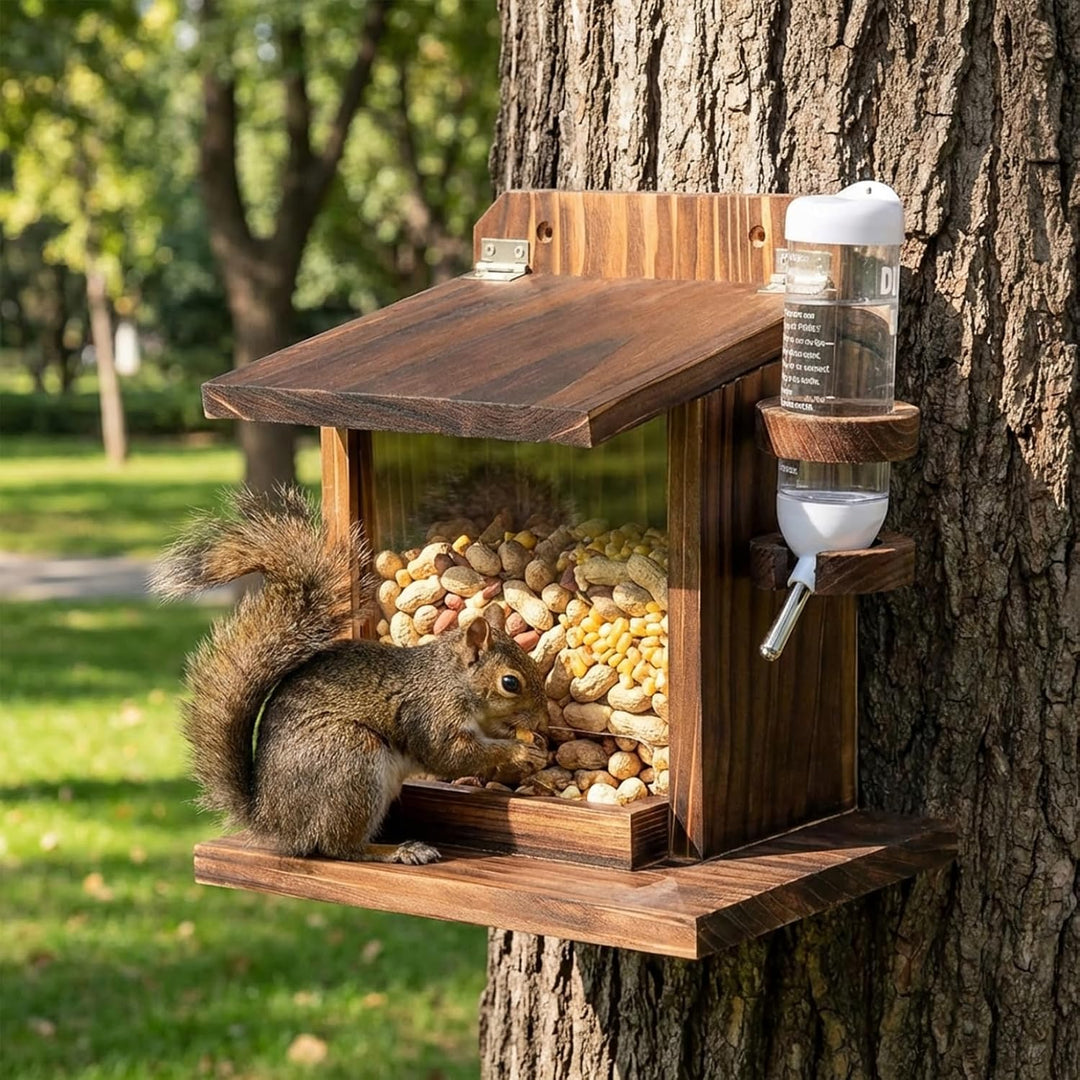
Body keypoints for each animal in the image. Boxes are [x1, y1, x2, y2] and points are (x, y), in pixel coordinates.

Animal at [151, 486, 549, 865]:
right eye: (510, 682)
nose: (543, 720)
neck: (452, 681)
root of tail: (271, 821)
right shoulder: (431, 716)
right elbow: (451, 756)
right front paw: (520, 751)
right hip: (350, 761)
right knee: (338, 846)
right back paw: (398, 851)